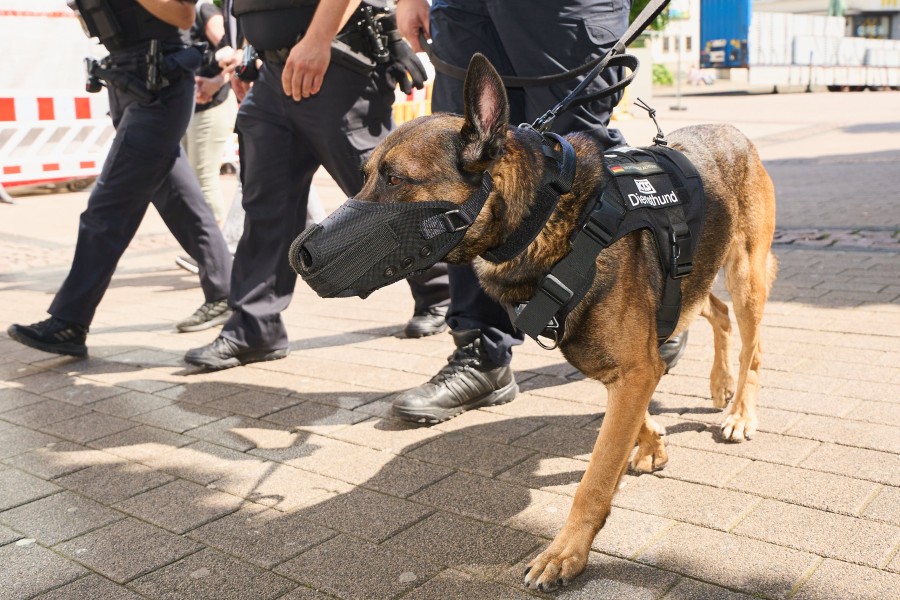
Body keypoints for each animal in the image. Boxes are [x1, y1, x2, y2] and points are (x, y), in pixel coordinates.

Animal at [356, 56, 776, 592]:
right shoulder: (627, 364)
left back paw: (740, 410)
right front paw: (650, 442)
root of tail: (730, 128)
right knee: (715, 312)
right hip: (694, 282)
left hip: (746, 274)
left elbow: (595, 478)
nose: (303, 253)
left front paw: (567, 553)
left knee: (752, 347)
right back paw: (720, 385)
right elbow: (631, 414)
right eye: (368, 173)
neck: (547, 217)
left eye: (394, 179)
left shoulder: (634, 366)